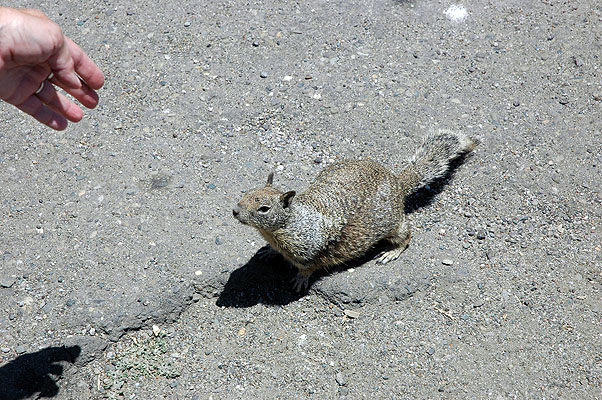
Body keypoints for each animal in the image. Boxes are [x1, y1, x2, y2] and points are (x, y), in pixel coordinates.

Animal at [232, 130, 476, 292]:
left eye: (264, 209)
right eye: (247, 193)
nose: (235, 211)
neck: (288, 224)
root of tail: (397, 183)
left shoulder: (310, 251)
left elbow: (308, 268)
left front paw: (300, 279)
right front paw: (268, 252)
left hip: (393, 224)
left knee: (406, 235)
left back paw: (391, 252)